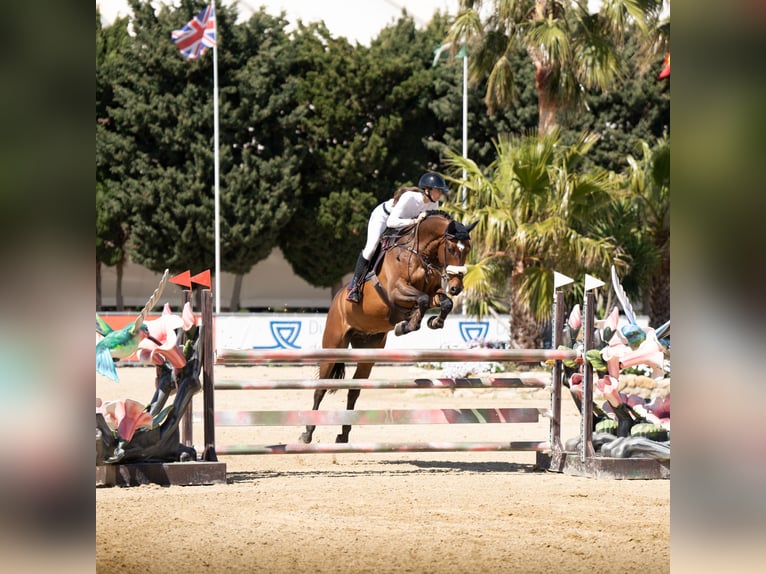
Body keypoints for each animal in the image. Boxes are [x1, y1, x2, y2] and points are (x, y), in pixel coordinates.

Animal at [302, 212, 476, 446]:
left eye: (468, 249)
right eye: (450, 248)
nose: (457, 287)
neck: (419, 255)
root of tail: (336, 300)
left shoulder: (433, 293)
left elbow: (443, 302)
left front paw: (433, 322)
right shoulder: (396, 291)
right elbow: (421, 299)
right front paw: (406, 325)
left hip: (368, 352)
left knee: (354, 390)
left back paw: (344, 434)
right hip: (333, 346)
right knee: (320, 389)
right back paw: (307, 432)